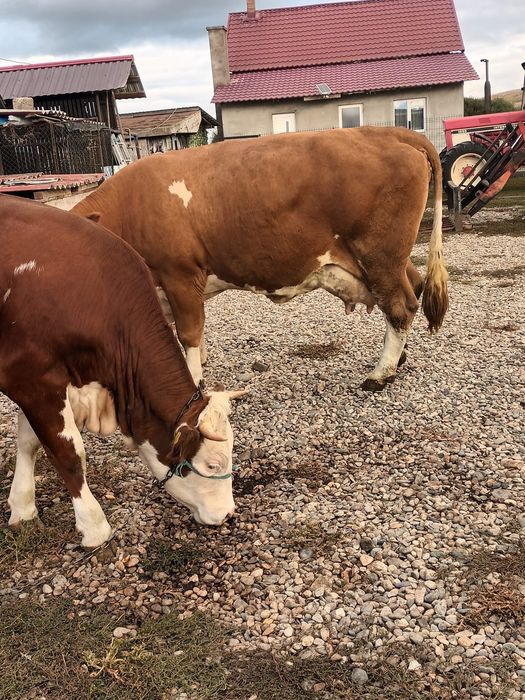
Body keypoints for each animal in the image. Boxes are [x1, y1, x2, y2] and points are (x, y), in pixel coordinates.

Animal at [0, 195, 245, 551]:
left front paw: (22, 507)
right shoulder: (32, 378)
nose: (227, 513)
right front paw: (93, 526)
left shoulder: (45, 383)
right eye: (212, 464)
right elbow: (68, 452)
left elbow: (29, 441)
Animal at [72, 126, 448, 391]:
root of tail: (386, 131)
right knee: (414, 286)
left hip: (379, 254)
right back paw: (399, 359)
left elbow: (189, 333)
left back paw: (380, 373)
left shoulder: (179, 274)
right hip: (388, 259)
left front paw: (194, 379)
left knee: (401, 307)